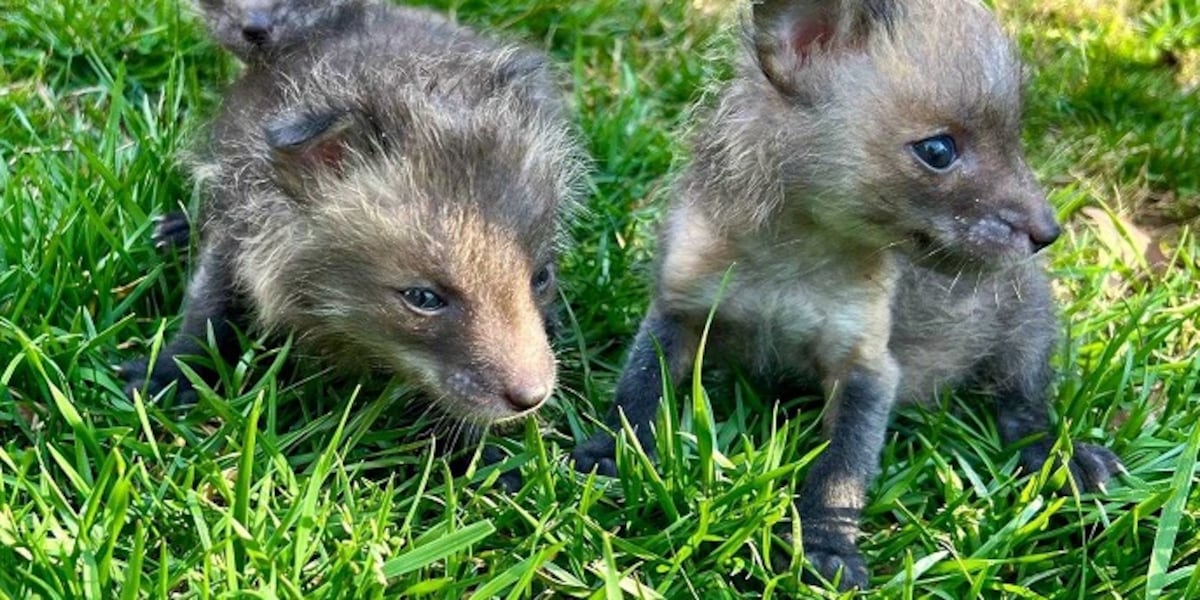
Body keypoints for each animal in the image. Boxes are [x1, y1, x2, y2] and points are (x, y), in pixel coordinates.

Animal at [120, 3, 585, 464]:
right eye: (423, 298)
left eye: (542, 277)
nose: (533, 397)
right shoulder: (237, 221)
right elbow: (207, 308)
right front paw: (167, 375)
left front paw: (479, 457)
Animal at [572, 0, 1122, 589]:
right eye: (937, 150)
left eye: (1016, 140)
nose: (1048, 233)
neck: (789, 258)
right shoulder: (678, 310)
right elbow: (636, 393)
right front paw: (612, 456)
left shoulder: (866, 366)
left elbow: (841, 469)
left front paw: (825, 546)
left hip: (1027, 326)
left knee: (1025, 407)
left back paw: (1065, 460)